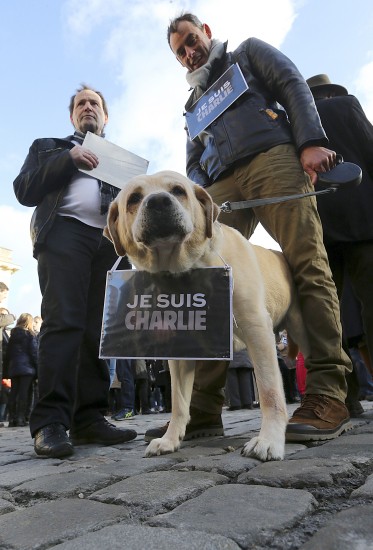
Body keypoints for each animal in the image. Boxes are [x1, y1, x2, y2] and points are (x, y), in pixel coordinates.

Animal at [104, 171, 308, 462]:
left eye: (178, 190)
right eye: (134, 198)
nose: (158, 202)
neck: (188, 270)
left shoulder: (257, 330)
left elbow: (270, 391)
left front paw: (269, 440)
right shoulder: (179, 349)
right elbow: (179, 403)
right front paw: (170, 439)